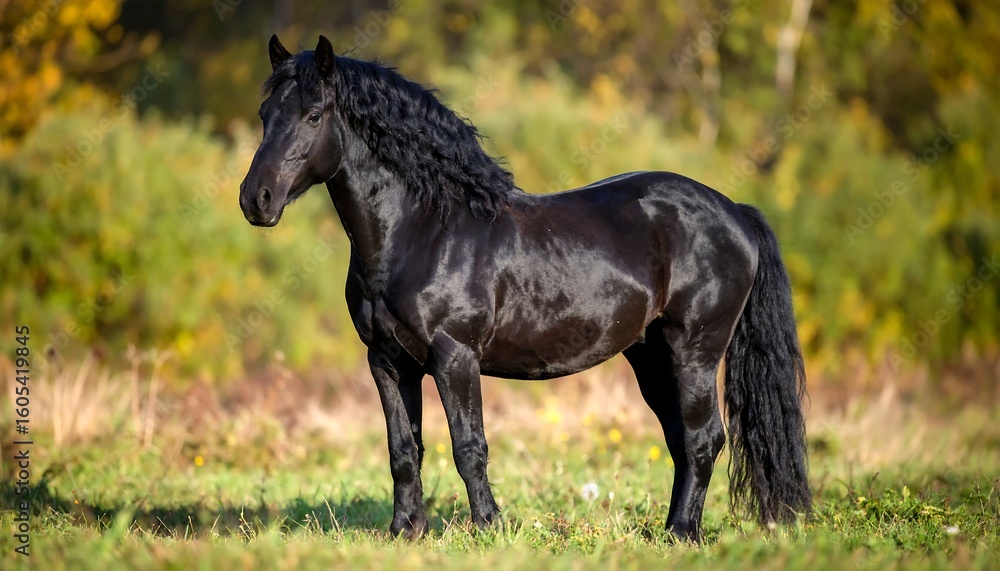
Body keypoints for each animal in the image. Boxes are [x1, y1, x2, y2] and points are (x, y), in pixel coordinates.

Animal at [239, 35, 811, 543]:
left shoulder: (455, 356)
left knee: (702, 438)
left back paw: (681, 534)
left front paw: (489, 527)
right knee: (680, 439)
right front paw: (405, 533)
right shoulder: (386, 360)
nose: (256, 200)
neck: (422, 229)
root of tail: (734, 212)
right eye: (265, 113)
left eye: (314, 115)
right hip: (651, 357)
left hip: (694, 351)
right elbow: (404, 450)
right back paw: (673, 530)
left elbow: (469, 446)